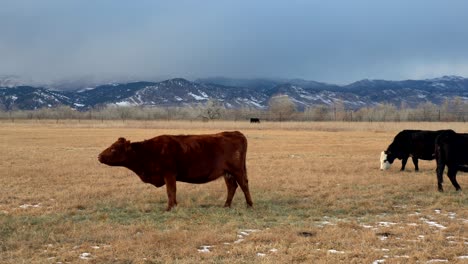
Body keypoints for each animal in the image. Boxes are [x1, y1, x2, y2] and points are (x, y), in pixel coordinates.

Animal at [97, 131, 254, 211]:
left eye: (114, 149)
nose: (99, 156)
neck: (149, 152)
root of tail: (236, 133)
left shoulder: (169, 174)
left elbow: (170, 191)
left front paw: (170, 207)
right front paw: (174, 205)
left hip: (237, 170)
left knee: (244, 185)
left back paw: (249, 205)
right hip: (227, 173)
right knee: (232, 187)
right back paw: (226, 205)